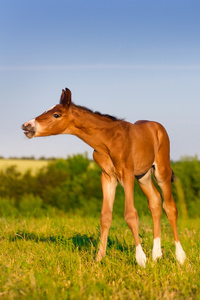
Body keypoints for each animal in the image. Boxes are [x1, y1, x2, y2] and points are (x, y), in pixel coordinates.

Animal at [21, 87, 186, 268]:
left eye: (56, 114)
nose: (26, 126)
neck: (108, 140)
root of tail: (157, 127)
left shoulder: (126, 173)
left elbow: (130, 214)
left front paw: (140, 259)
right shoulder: (108, 177)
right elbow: (105, 216)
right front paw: (99, 258)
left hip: (161, 171)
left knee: (170, 207)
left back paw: (180, 257)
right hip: (143, 175)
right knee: (155, 201)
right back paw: (157, 255)